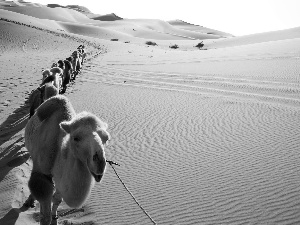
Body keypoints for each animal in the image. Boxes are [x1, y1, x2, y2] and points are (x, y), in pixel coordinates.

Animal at [23, 95, 110, 225]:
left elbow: (57, 199)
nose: (100, 163)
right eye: (76, 138)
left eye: (106, 138)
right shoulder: (43, 173)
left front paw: (55, 219)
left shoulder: (60, 179)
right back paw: (29, 201)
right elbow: (45, 209)